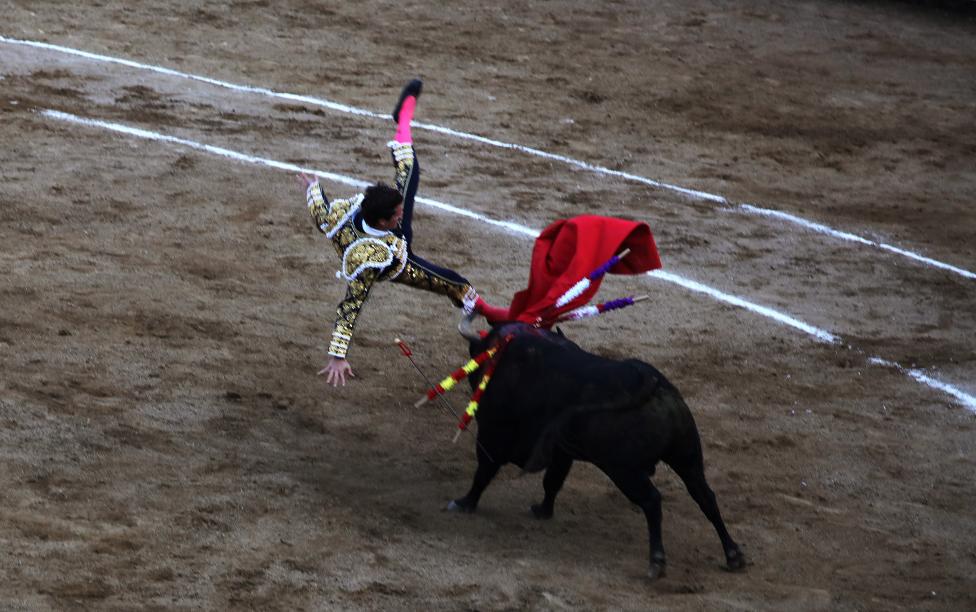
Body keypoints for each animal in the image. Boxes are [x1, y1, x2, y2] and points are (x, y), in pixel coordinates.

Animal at [448, 314, 745, 579]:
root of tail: (654, 384)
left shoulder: (493, 433)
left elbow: (484, 471)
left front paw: (464, 503)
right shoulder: (562, 451)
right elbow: (552, 482)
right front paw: (543, 511)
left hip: (624, 470)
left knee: (652, 500)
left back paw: (657, 562)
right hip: (687, 455)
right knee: (704, 496)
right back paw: (733, 555)